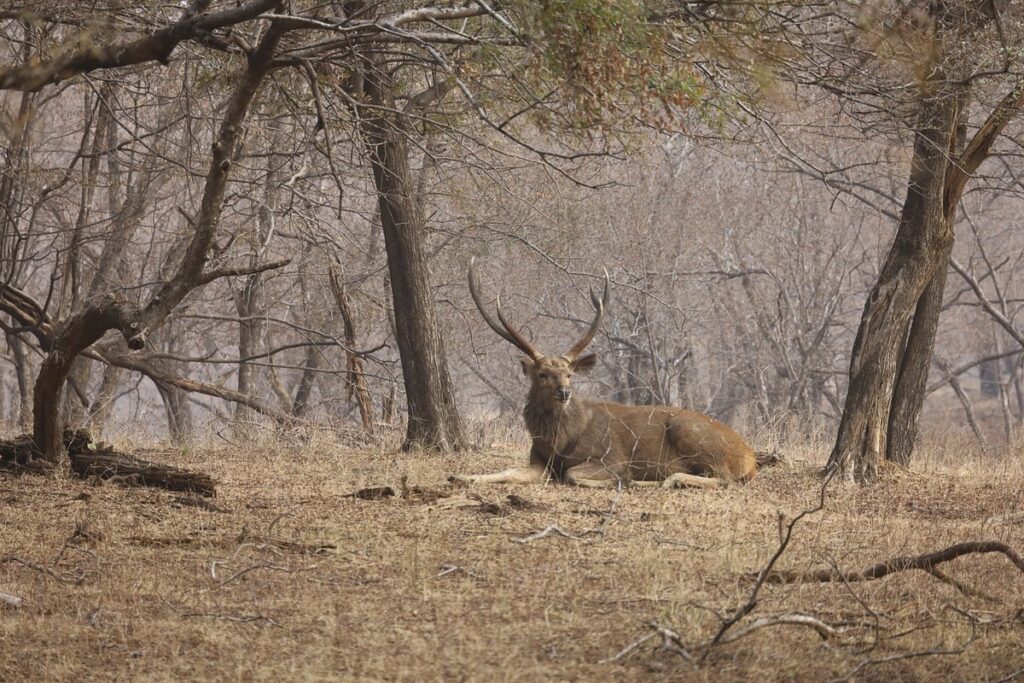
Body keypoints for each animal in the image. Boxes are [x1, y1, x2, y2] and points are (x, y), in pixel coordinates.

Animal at [452, 264, 757, 491]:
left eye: (569, 374)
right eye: (542, 374)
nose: (564, 392)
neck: (559, 441)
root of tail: (749, 456)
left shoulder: (611, 457)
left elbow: (573, 474)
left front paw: (624, 480)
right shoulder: (539, 461)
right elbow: (508, 470)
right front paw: (461, 476)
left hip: (692, 435)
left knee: (725, 479)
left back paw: (662, 480)